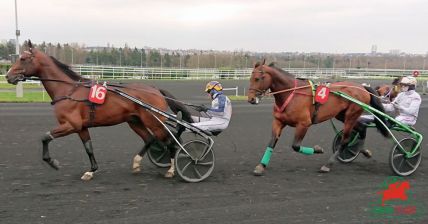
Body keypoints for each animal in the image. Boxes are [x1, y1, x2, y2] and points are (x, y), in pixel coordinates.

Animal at [4, 41, 192, 180]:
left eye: (22, 58)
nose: (7, 76)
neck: (68, 90)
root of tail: (155, 89)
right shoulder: (81, 127)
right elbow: (89, 148)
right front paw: (91, 170)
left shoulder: (70, 125)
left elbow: (45, 137)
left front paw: (52, 162)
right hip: (135, 121)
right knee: (150, 139)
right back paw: (137, 163)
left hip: (154, 122)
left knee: (171, 142)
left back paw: (173, 169)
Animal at [246, 60, 390, 175]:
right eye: (250, 78)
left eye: (258, 78)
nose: (251, 99)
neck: (292, 94)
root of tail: (362, 87)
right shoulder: (278, 121)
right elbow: (271, 142)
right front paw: (261, 166)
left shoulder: (304, 124)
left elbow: (296, 146)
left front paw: (318, 149)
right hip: (342, 115)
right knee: (360, 129)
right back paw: (362, 151)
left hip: (351, 115)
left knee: (345, 139)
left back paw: (328, 164)